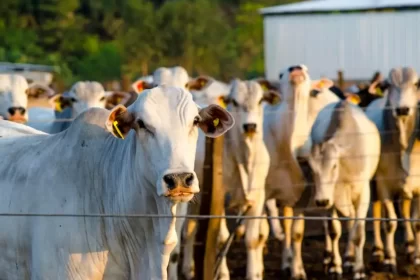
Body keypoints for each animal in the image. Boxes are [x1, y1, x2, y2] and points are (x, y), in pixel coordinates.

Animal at [266, 64, 342, 278]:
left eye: (306, 69)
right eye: (280, 74)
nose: (296, 68)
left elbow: (322, 228)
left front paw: (333, 265)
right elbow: (290, 229)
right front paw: (292, 266)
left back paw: (329, 258)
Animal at [308, 99, 380, 278]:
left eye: (334, 165)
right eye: (311, 168)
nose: (321, 201)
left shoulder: (364, 194)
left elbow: (358, 234)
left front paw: (359, 270)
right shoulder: (331, 199)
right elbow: (334, 231)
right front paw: (335, 266)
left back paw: (351, 259)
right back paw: (341, 258)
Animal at [364, 66, 420, 272]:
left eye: (417, 84)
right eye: (388, 85)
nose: (402, 109)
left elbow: (415, 222)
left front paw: (417, 257)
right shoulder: (384, 186)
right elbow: (390, 222)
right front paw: (390, 259)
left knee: (404, 210)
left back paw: (410, 246)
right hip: (373, 185)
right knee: (376, 212)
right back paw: (378, 251)